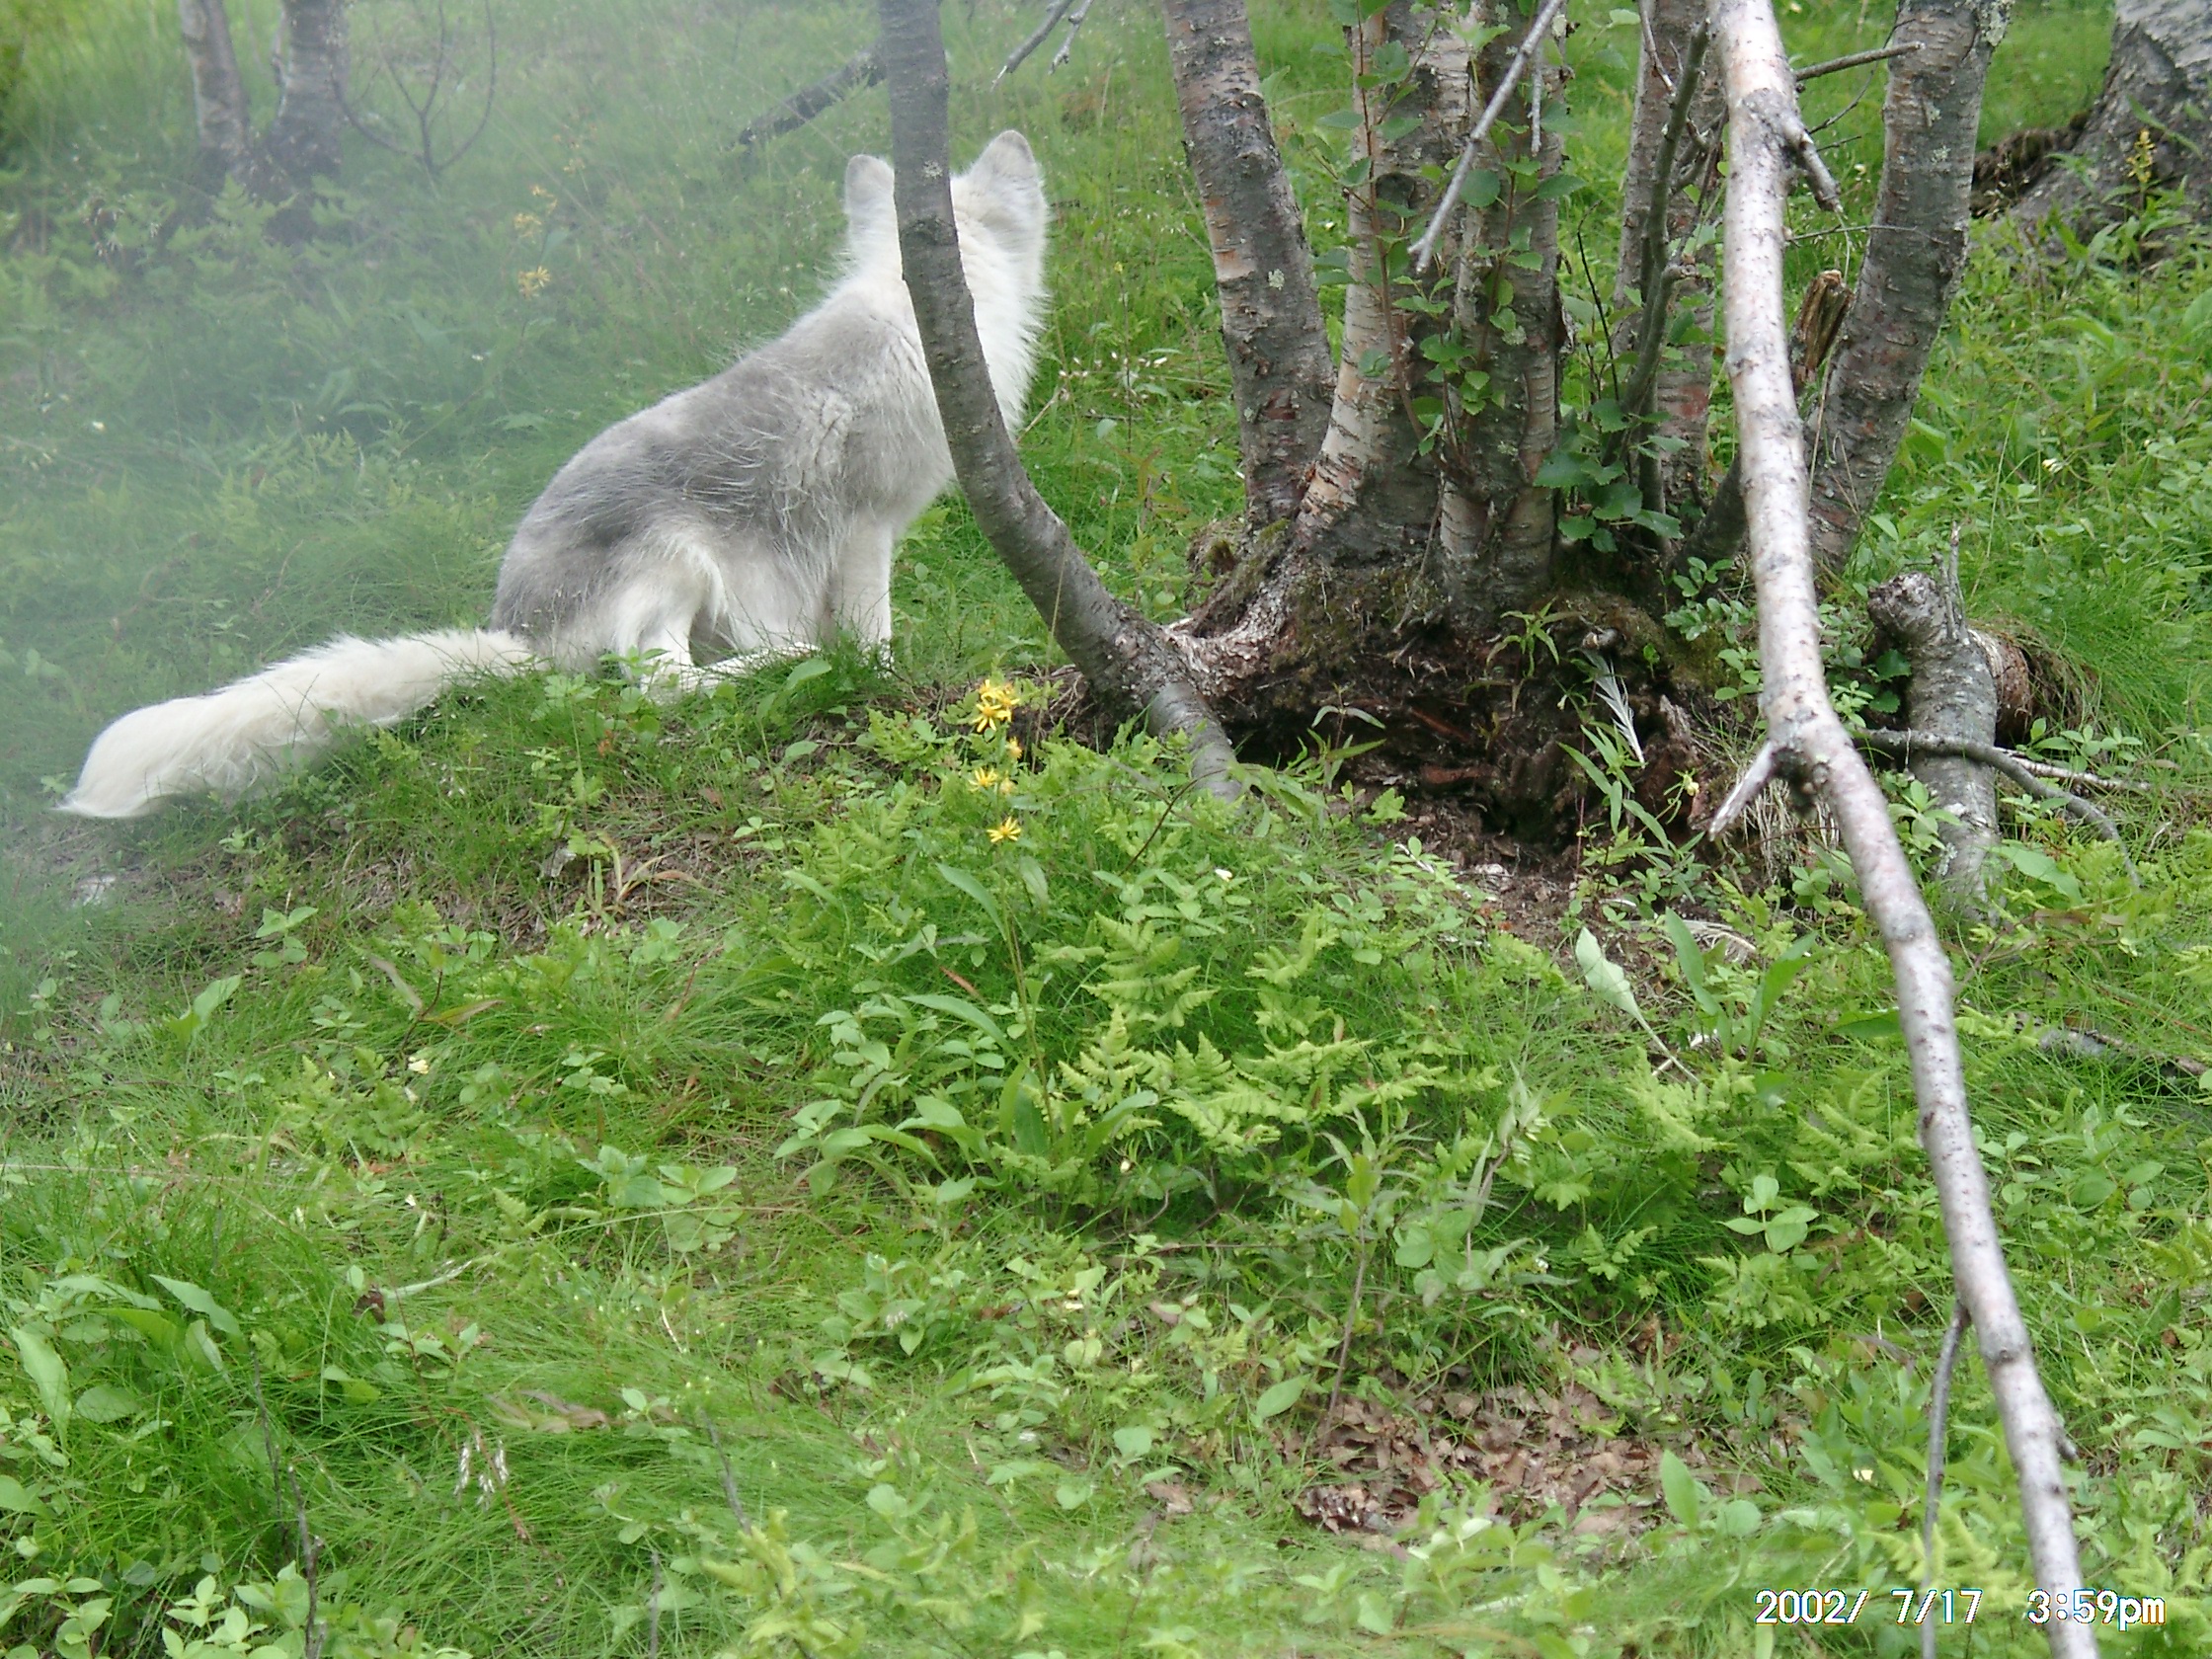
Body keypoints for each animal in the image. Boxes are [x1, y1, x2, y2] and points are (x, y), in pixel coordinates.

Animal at [62, 131, 1049, 819]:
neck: (909, 309)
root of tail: (516, 635)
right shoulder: (866, 530)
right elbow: (875, 631)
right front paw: (880, 675)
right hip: (679, 565)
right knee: (662, 687)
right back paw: (789, 662)